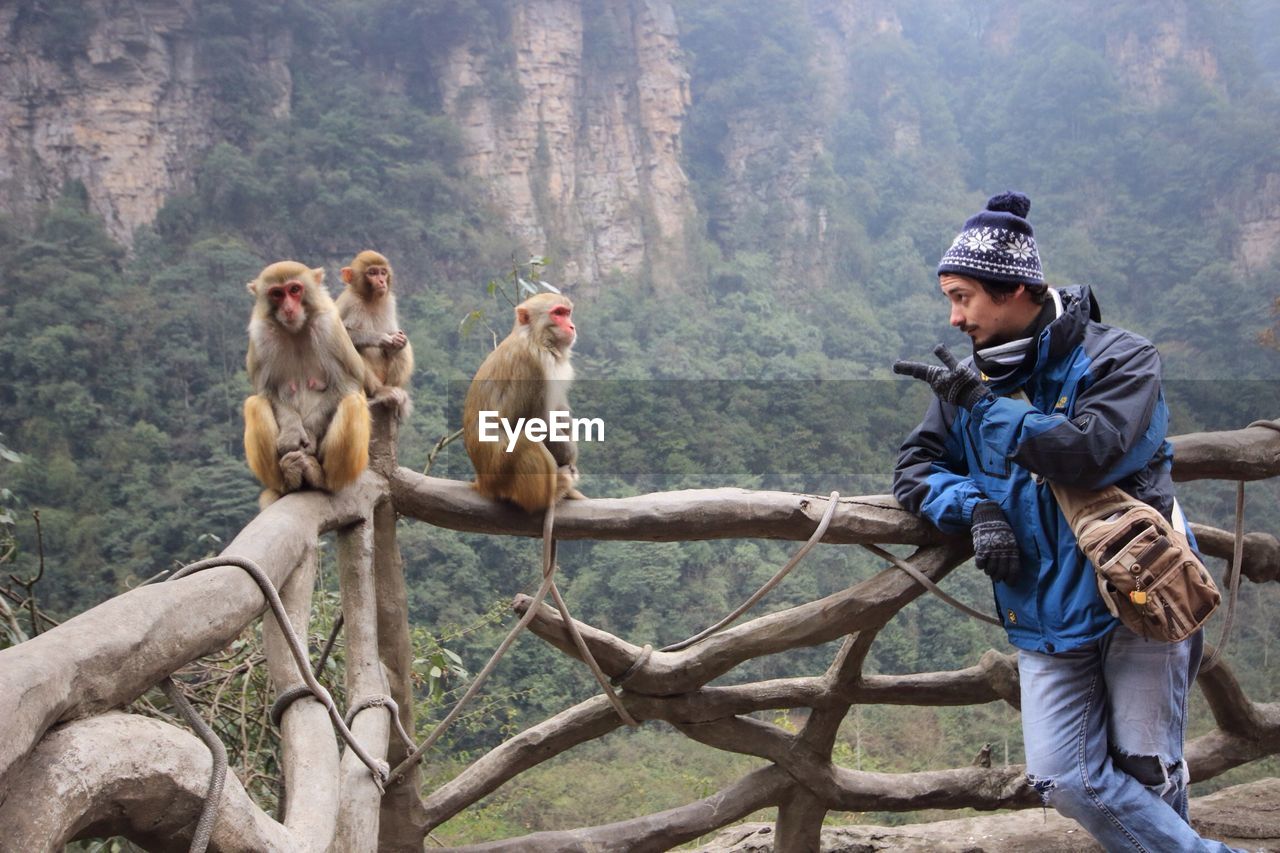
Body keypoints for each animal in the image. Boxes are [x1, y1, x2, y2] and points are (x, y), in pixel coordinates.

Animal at [241, 258, 371, 504]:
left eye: (294, 289)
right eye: (277, 294)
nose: (288, 308)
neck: (296, 330)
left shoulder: (330, 327)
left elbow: (348, 382)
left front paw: (308, 432)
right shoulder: (261, 336)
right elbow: (267, 392)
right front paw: (292, 431)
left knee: (352, 402)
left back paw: (321, 479)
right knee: (255, 404)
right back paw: (288, 478)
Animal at [337, 247, 412, 417]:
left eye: (382, 272)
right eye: (372, 273)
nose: (382, 281)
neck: (369, 299)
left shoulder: (389, 301)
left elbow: (396, 336)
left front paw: (397, 340)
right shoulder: (350, 303)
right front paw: (380, 338)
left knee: (403, 348)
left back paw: (395, 392)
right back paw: (380, 392)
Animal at [465, 292, 586, 507]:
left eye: (567, 313)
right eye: (558, 313)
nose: (571, 326)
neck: (537, 339)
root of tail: (481, 482)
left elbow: (560, 414)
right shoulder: (534, 367)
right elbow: (538, 422)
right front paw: (570, 454)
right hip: (500, 472)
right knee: (525, 440)